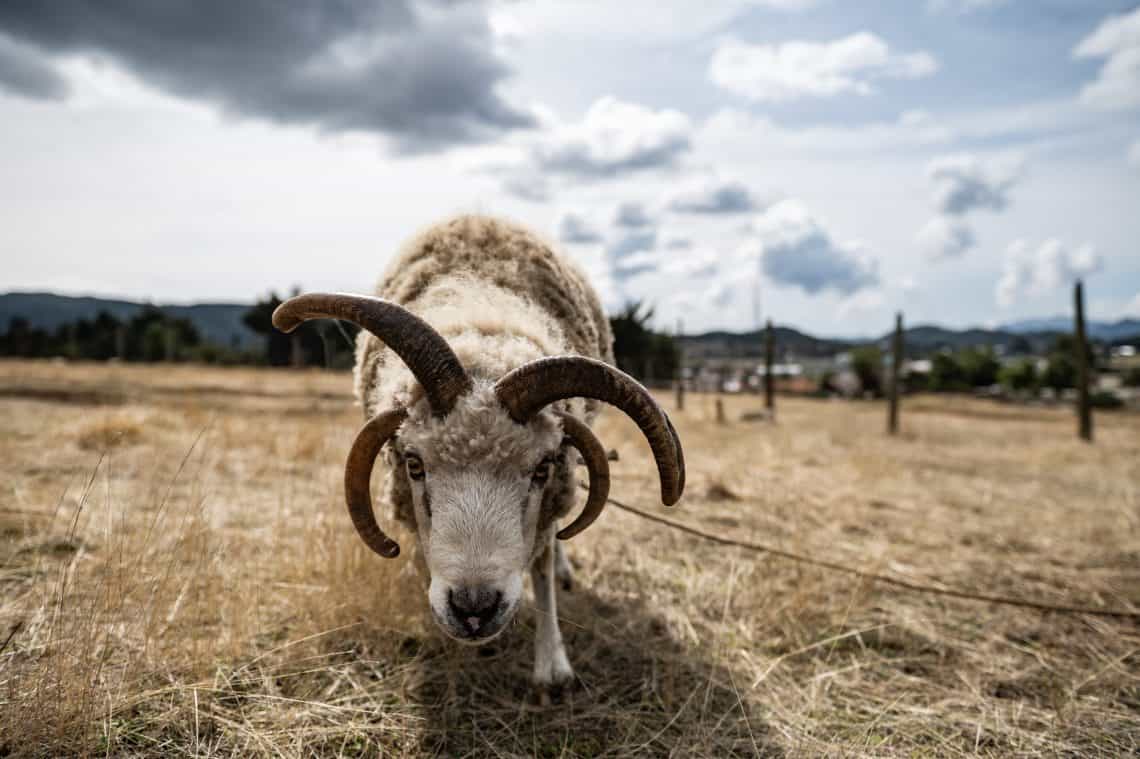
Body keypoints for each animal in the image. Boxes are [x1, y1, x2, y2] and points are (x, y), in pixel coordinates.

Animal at [272, 214, 685, 697]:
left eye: (542, 467)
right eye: (414, 463)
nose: (474, 609)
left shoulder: (548, 504)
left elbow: (543, 563)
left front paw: (553, 666)